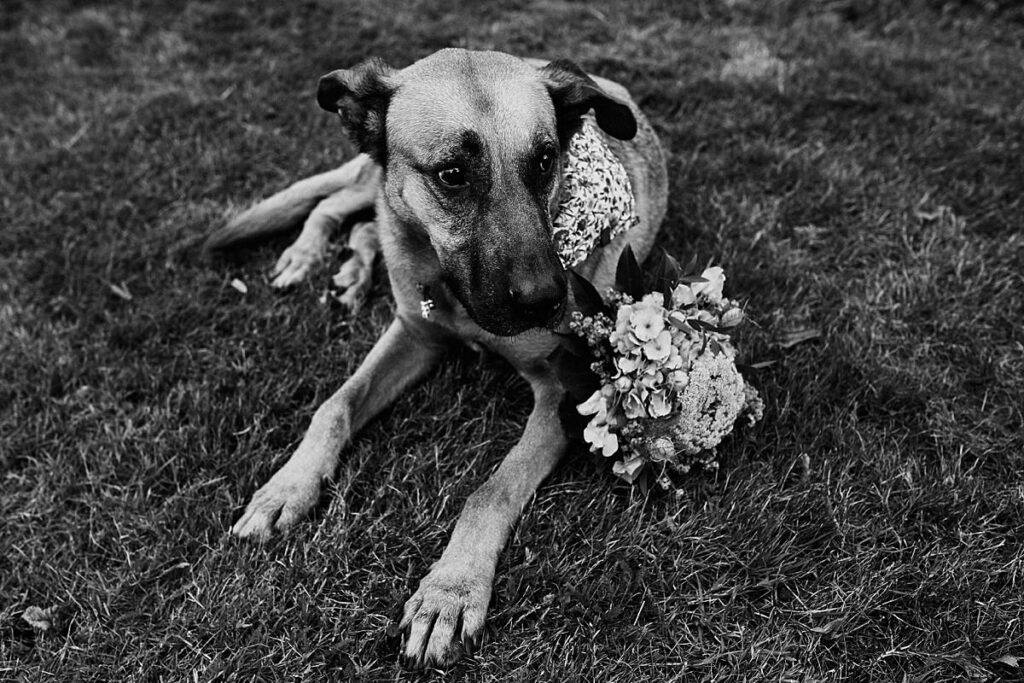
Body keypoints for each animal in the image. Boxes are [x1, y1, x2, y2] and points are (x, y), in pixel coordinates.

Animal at [207, 48, 671, 667]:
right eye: (452, 173)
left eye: (546, 161)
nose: (549, 300)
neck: (451, 289)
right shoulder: (412, 333)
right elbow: (334, 406)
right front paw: (288, 487)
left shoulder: (562, 392)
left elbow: (489, 492)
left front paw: (450, 592)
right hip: (373, 181)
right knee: (340, 204)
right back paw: (307, 256)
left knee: (362, 224)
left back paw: (351, 272)